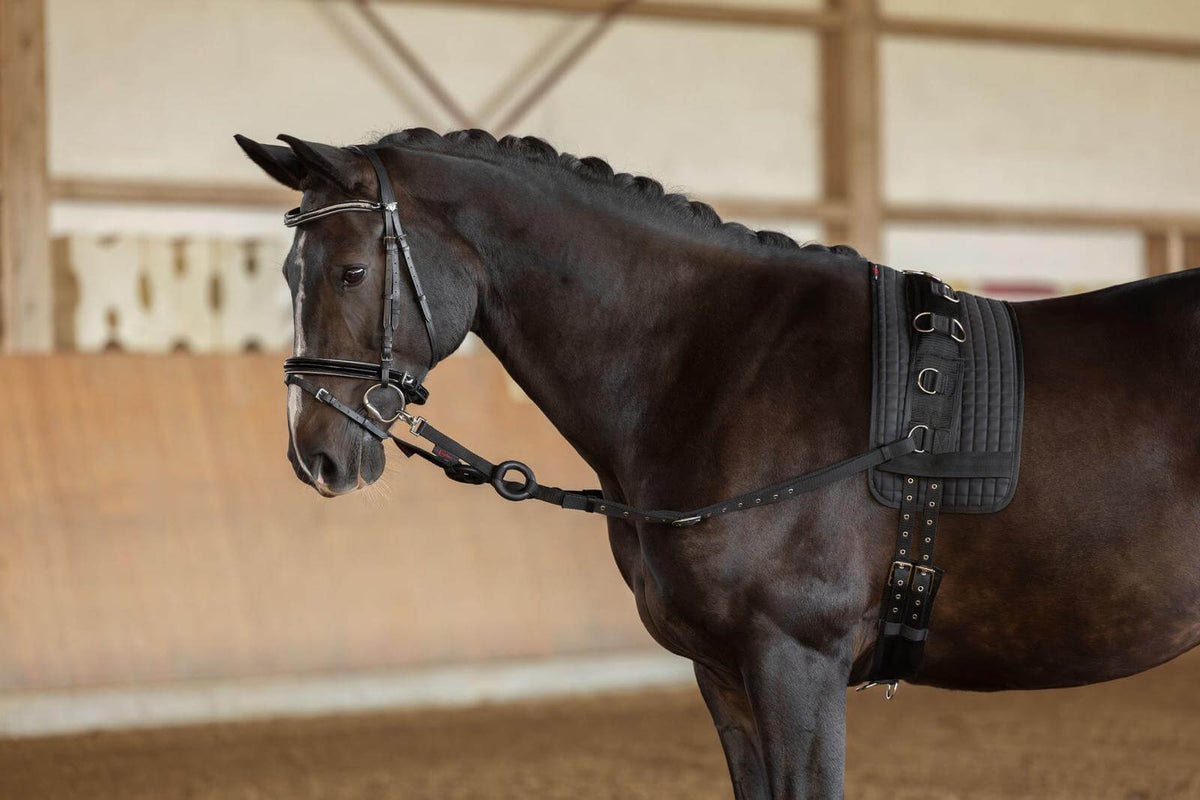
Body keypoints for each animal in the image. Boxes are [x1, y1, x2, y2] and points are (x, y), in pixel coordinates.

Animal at [235, 128, 1200, 799]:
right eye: (286, 274)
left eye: (352, 272)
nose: (316, 454)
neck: (718, 361)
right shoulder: (725, 671)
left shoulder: (796, 659)